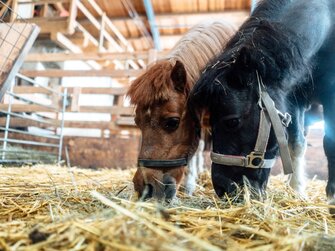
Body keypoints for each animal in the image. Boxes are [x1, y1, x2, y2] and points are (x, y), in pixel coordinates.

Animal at [190, 0, 334, 206]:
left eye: (232, 121)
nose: (222, 188)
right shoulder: (293, 100)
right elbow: (296, 144)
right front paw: (296, 190)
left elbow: (329, 144)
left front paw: (331, 196)